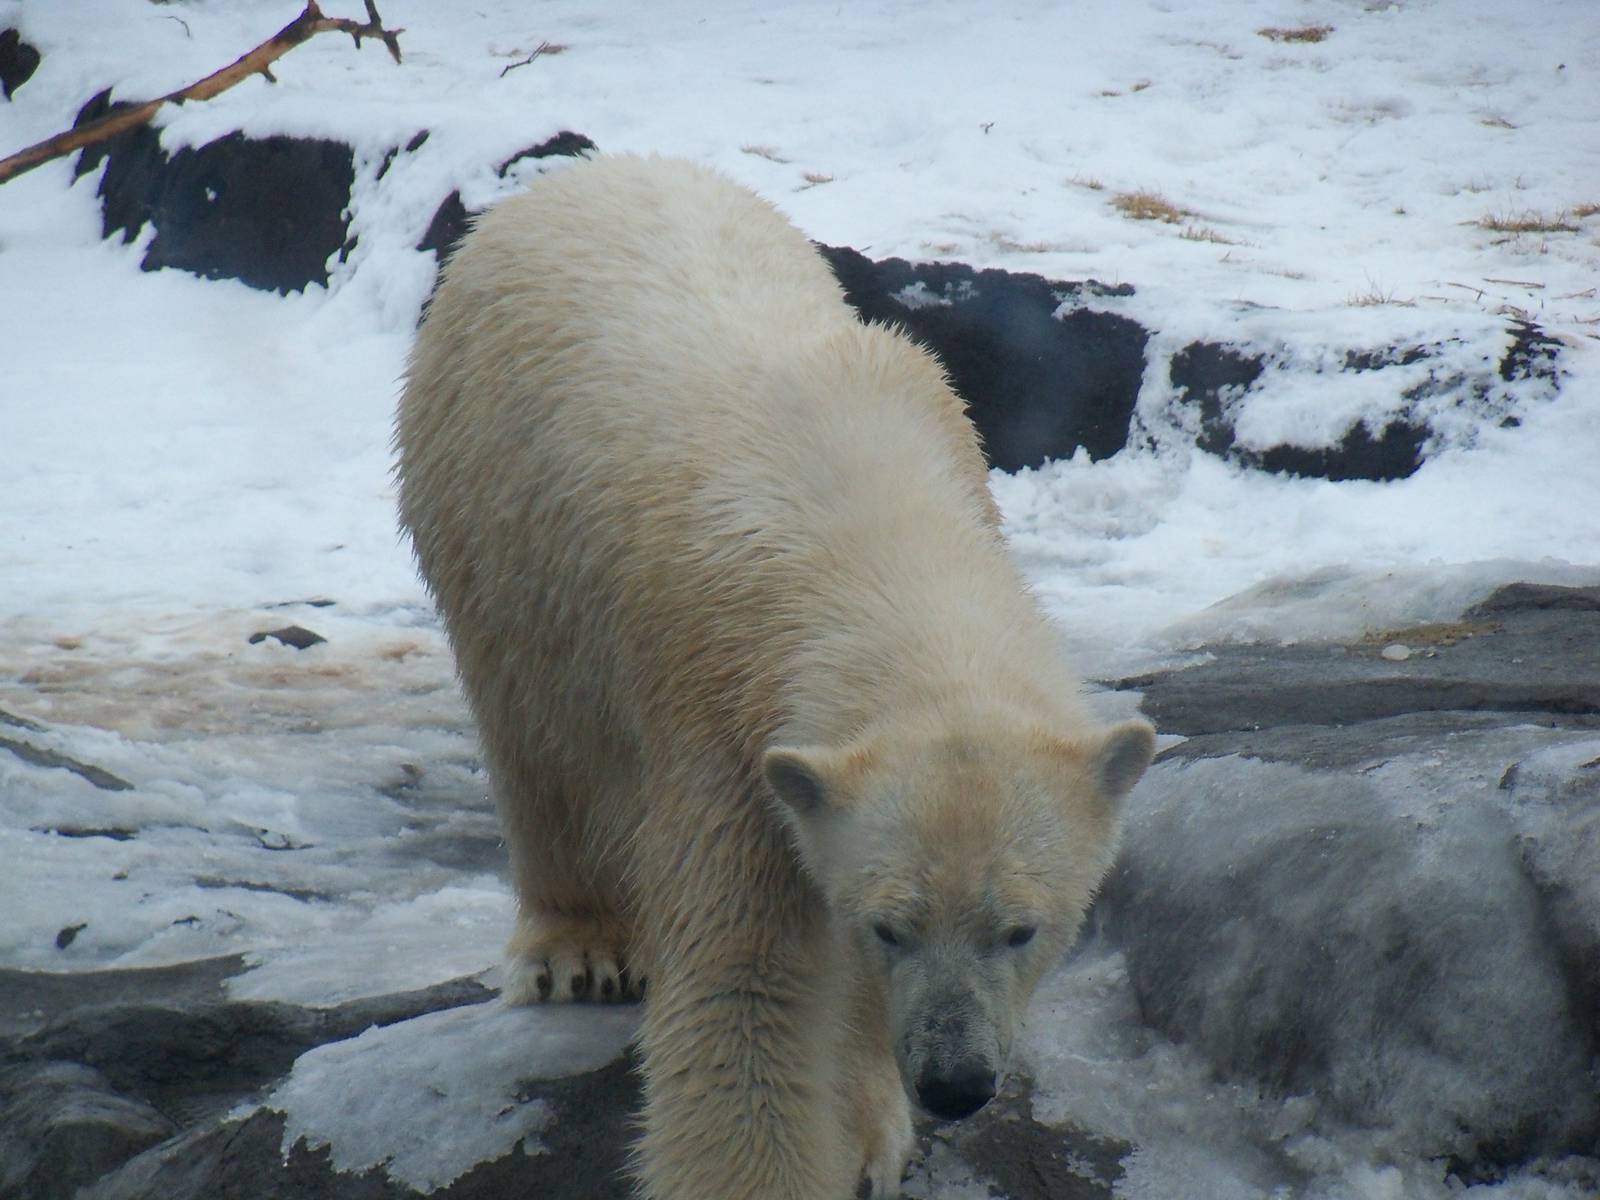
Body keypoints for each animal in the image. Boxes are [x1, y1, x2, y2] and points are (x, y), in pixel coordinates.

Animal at [395, 154, 1155, 1200]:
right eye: (892, 926)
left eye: (1022, 928)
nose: (955, 1083)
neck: (873, 536)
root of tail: (580, 174)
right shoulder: (727, 720)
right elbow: (747, 988)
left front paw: (870, 1129)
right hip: (486, 516)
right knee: (535, 736)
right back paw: (578, 944)